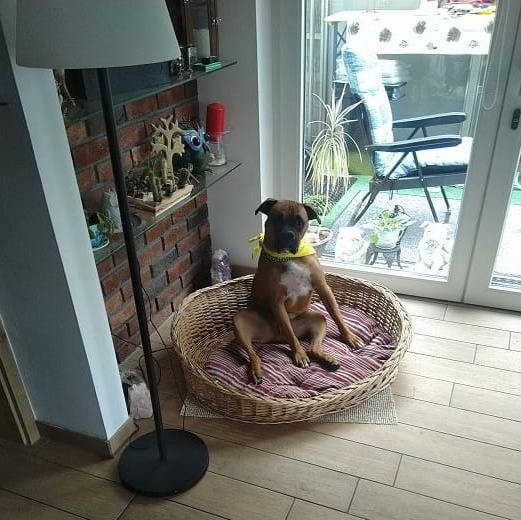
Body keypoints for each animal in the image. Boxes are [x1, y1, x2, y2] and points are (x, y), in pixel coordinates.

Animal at [232, 198, 362, 383]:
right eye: (278, 219)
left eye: (299, 222)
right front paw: (299, 355)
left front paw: (350, 337)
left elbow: (337, 315)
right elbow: (289, 332)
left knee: (313, 348)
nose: (288, 235)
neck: (289, 257)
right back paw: (257, 371)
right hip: (240, 321)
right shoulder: (277, 303)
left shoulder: (323, 288)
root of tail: (275, 338)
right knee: (254, 354)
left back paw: (328, 360)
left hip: (318, 319)